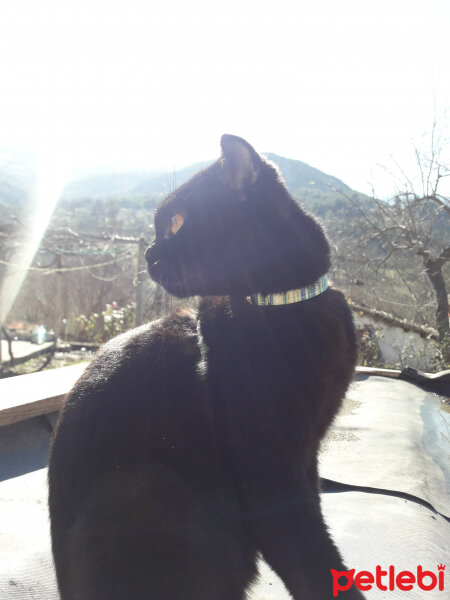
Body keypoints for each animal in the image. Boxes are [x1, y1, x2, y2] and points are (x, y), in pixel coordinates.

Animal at [48, 136, 362, 600]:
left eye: (177, 222)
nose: (149, 252)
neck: (284, 304)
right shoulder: (268, 472)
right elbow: (312, 560)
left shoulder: (306, 456)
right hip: (151, 488)